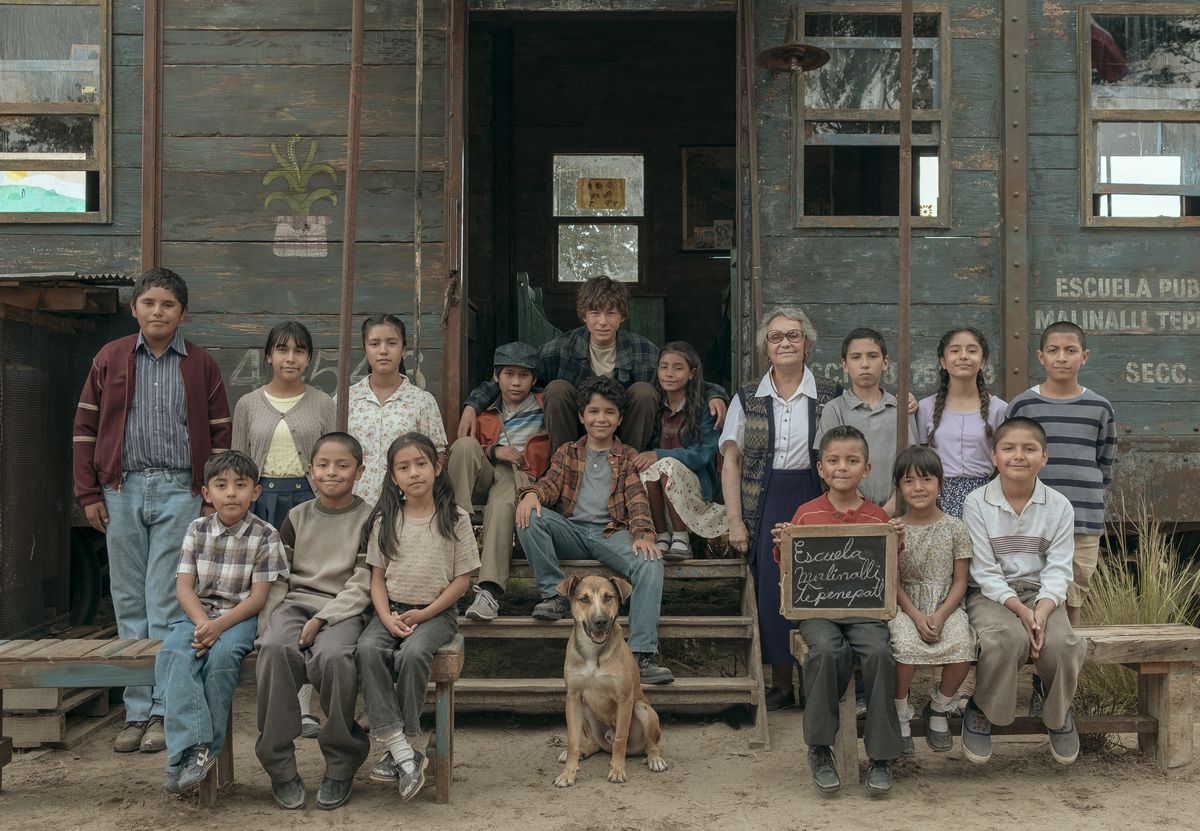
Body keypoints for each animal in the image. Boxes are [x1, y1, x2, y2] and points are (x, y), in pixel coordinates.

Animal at [549, 574, 667, 787]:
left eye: (608, 597)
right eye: (584, 599)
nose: (600, 621)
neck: (593, 651)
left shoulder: (625, 699)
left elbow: (620, 739)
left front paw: (617, 771)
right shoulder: (573, 697)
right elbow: (572, 741)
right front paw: (568, 773)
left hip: (643, 709)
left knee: (651, 744)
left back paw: (654, 759)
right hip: (585, 708)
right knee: (594, 743)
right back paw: (584, 751)